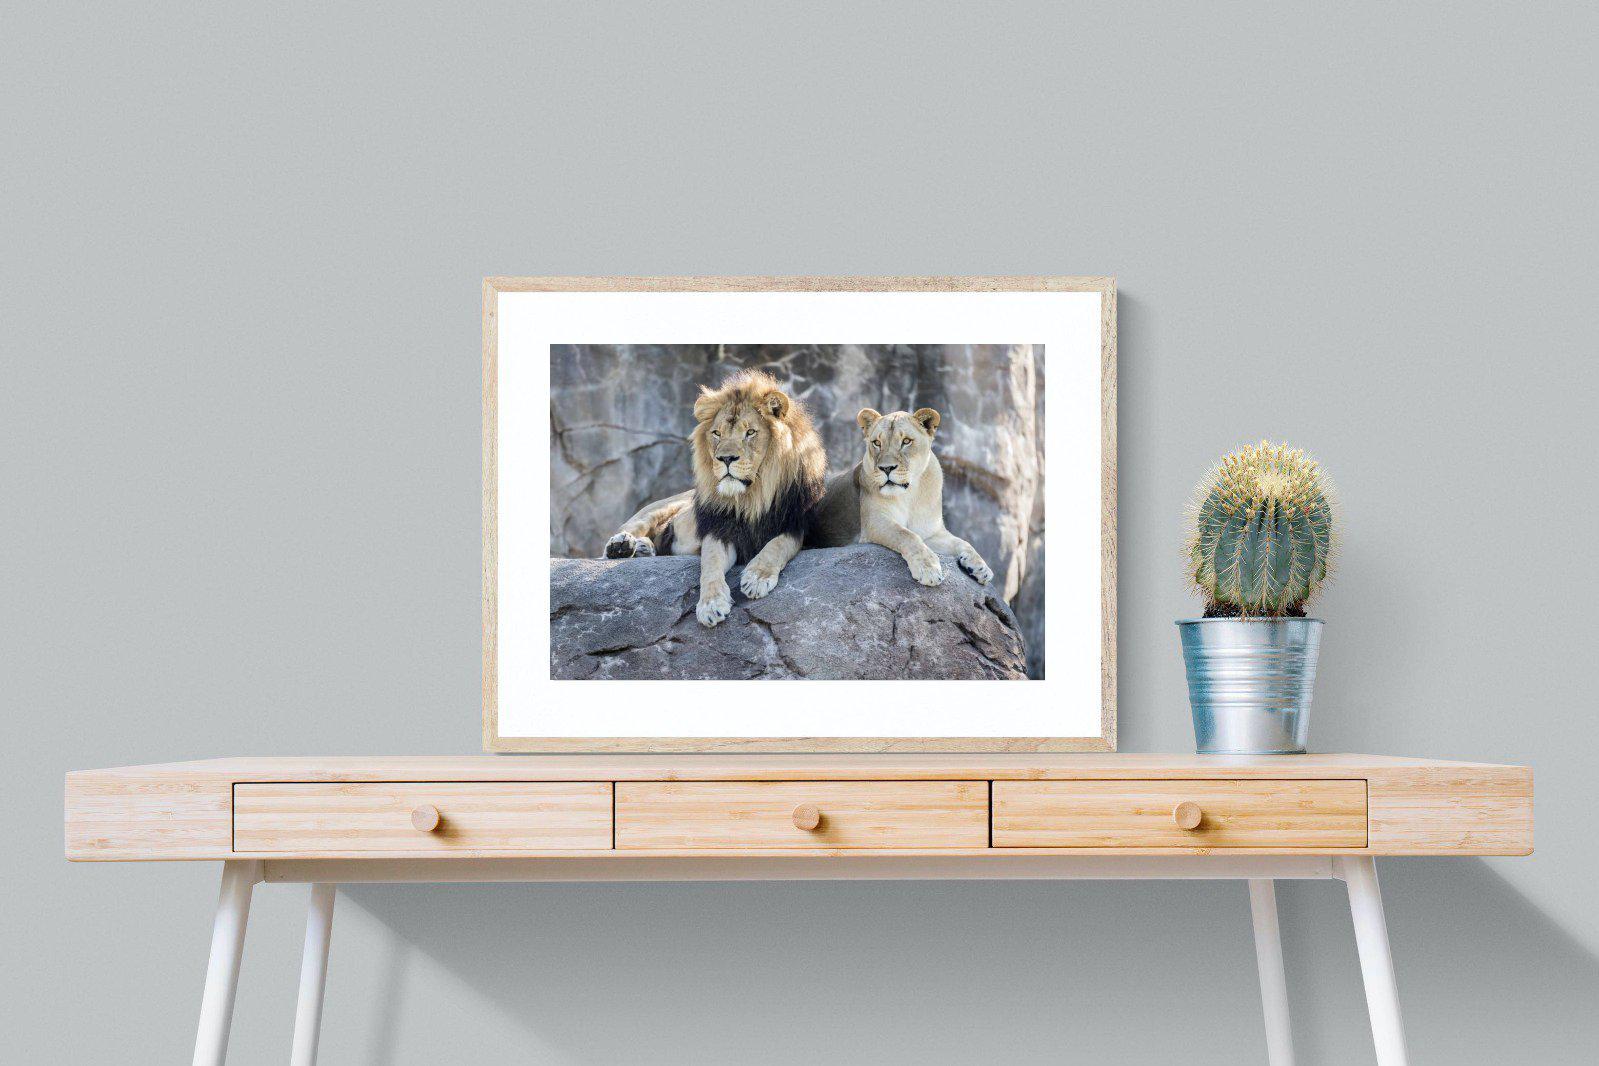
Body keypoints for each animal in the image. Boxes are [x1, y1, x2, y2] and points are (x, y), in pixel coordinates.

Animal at [604, 370, 827, 627]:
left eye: (750, 432)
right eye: (717, 433)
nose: (726, 458)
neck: (752, 497)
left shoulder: (796, 525)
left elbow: (777, 545)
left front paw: (757, 577)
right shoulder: (719, 529)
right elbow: (710, 564)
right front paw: (711, 605)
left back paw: (643, 548)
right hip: (659, 507)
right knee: (632, 526)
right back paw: (622, 546)